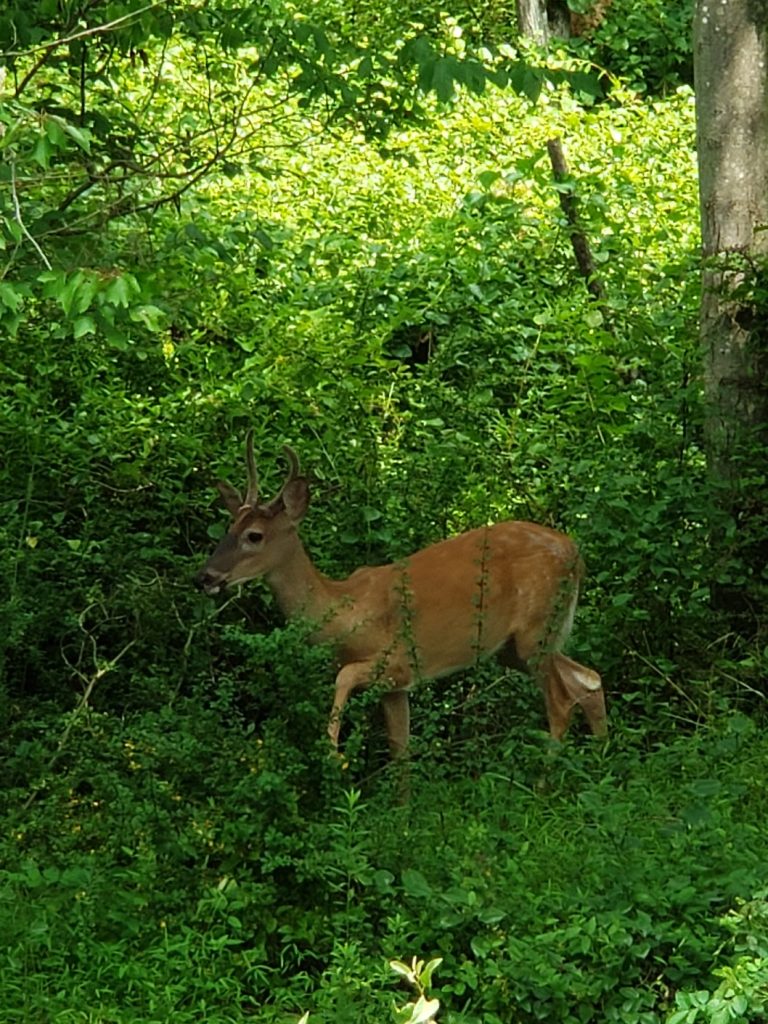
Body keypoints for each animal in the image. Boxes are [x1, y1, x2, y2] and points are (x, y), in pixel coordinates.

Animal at [196, 428, 606, 757]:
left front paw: (332, 751)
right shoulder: (395, 688)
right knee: (589, 680)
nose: (204, 576)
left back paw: (546, 787)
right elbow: (401, 750)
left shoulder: (398, 662)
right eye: (228, 528)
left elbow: (344, 677)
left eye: (254, 536)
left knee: (562, 700)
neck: (344, 613)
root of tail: (575, 553)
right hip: (516, 646)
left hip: (536, 631)